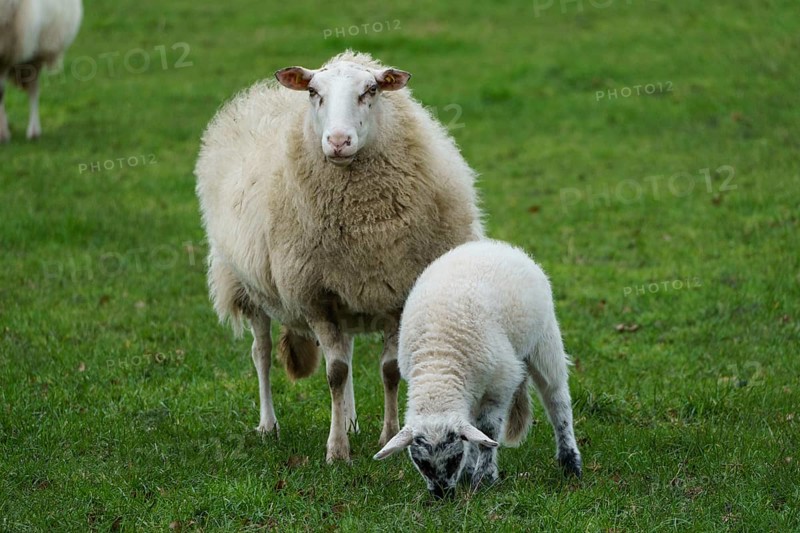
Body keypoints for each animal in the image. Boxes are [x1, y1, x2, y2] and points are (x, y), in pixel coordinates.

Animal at [0, 0, 82, 142]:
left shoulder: (7, 53)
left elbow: (0, 93)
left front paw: (3, 135)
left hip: (38, 49)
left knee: (34, 89)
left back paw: (33, 131)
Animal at [195, 50, 483, 463]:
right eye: (313, 92)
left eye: (372, 90)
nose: (338, 141)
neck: (365, 226)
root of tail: (260, 95)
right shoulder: (315, 298)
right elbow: (334, 374)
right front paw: (336, 451)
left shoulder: (395, 294)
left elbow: (388, 370)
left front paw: (388, 435)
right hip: (246, 286)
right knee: (261, 353)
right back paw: (269, 424)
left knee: (343, 350)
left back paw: (350, 420)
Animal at [373, 240, 582, 498]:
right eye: (420, 463)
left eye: (454, 458)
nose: (442, 496)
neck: (439, 360)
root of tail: (493, 245)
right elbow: (474, 431)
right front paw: (470, 472)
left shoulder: (500, 385)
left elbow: (488, 430)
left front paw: (484, 478)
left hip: (544, 341)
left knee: (557, 399)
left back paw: (570, 462)